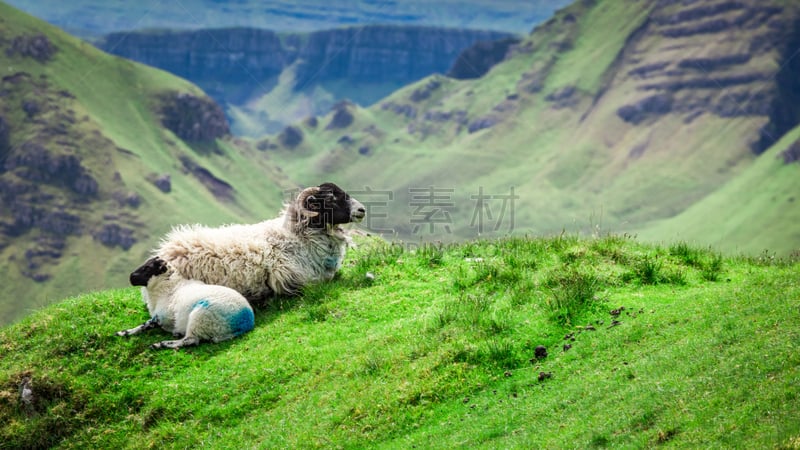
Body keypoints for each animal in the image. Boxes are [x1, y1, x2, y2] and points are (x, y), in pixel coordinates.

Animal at [118, 256, 253, 348]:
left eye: (147, 267)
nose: (131, 277)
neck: (169, 287)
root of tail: (246, 321)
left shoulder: (161, 316)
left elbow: (145, 325)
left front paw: (124, 332)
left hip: (201, 317)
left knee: (190, 340)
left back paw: (162, 344)